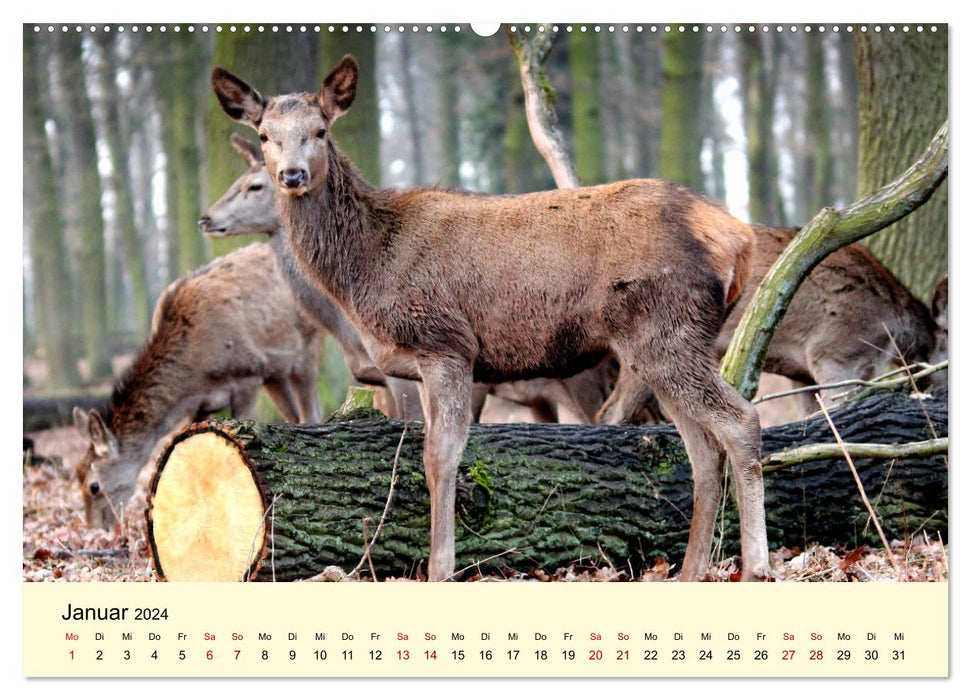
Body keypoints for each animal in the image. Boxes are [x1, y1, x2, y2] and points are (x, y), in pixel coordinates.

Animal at [74, 243, 322, 528]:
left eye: (94, 486)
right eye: (77, 475)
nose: (95, 530)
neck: (196, 375)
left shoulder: (248, 375)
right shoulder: (200, 404)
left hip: (308, 343)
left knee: (312, 412)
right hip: (275, 372)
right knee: (294, 416)